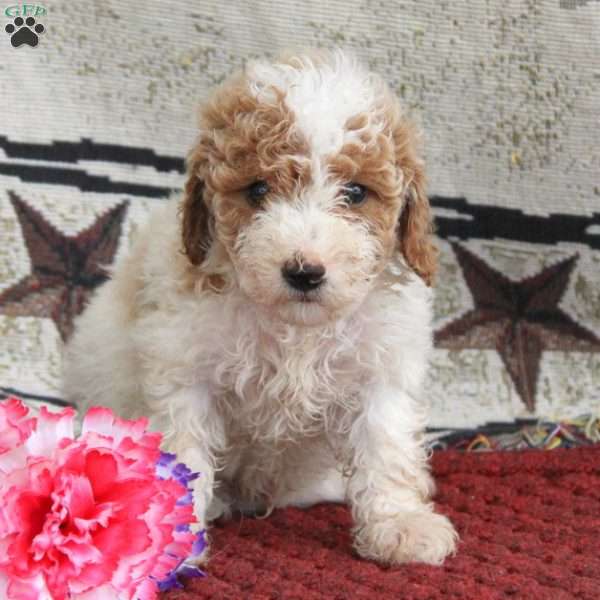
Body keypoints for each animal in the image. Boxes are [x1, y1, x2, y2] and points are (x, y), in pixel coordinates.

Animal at [63, 49, 458, 564]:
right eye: (257, 191)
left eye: (355, 193)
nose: (304, 272)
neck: (295, 327)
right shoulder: (185, 369)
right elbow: (184, 449)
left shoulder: (381, 368)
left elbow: (385, 444)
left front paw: (399, 525)